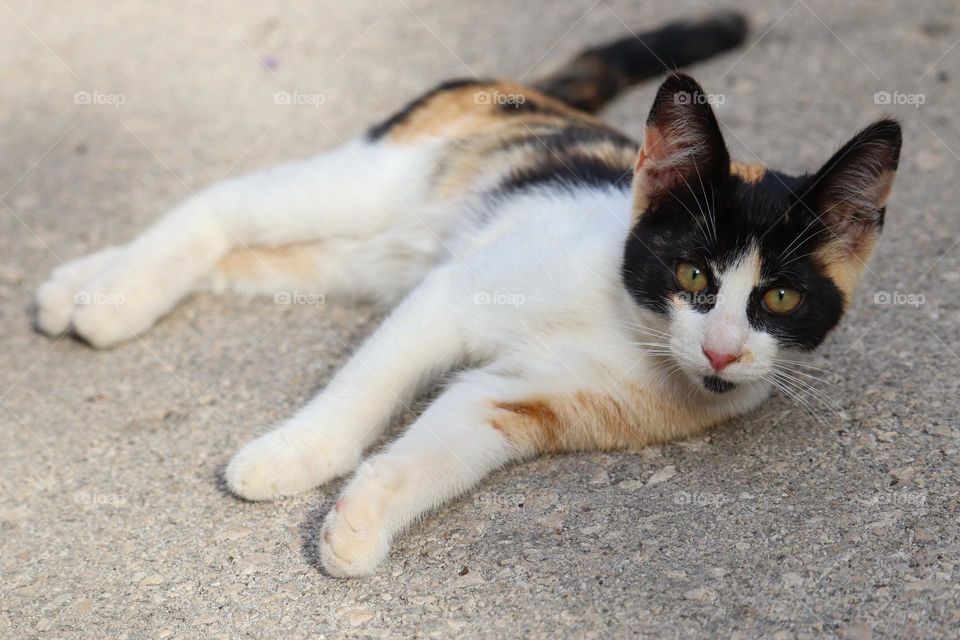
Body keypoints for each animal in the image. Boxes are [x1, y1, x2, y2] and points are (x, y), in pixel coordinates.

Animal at [31, 12, 900, 576]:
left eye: (779, 301)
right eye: (693, 275)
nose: (722, 351)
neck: (628, 326)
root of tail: (530, 94)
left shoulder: (523, 400)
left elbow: (439, 450)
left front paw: (360, 522)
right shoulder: (448, 298)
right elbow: (364, 393)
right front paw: (292, 455)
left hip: (368, 255)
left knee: (246, 253)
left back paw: (78, 289)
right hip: (380, 180)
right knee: (223, 204)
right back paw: (114, 301)